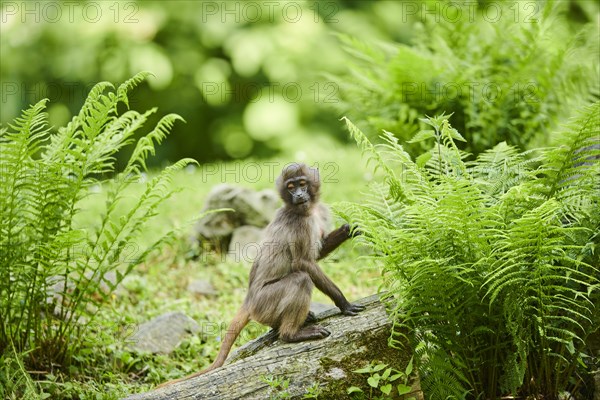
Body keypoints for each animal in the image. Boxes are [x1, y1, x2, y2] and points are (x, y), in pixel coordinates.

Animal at [159, 162, 364, 388]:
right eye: (291, 187)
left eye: (302, 183)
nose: (299, 194)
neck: (307, 211)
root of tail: (249, 300)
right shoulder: (299, 224)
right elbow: (303, 263)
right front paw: (344, 303)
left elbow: (316, 254)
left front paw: (348, 229)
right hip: (264, 302)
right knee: (300, 279)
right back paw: (290, 334)